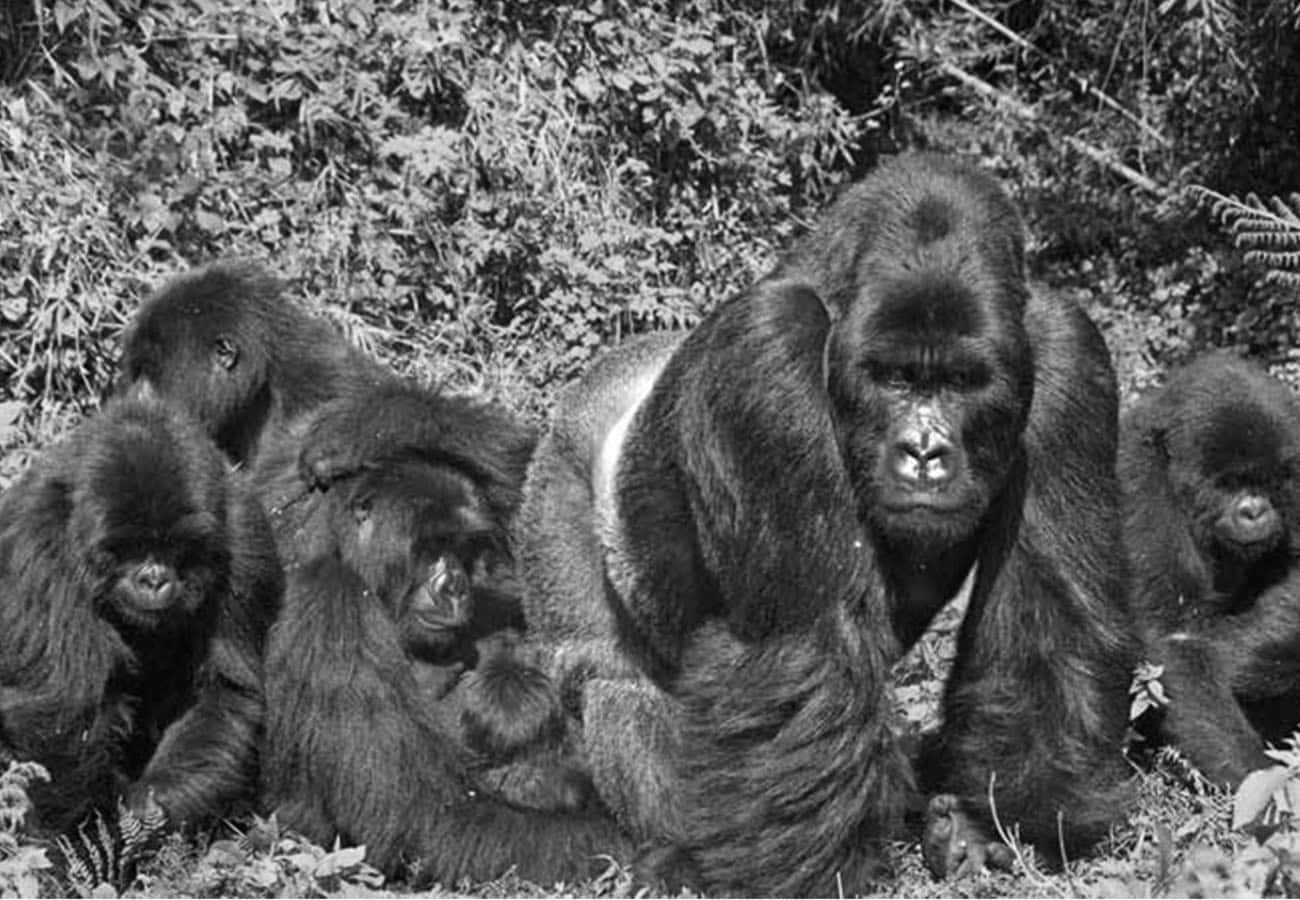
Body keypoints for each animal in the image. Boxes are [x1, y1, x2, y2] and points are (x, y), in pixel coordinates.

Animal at [0, 392, 282, 837]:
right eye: (129, 547)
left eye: (175, 547)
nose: (153, 578)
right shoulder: (38, 540)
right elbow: (60, 711)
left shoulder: (245, 540)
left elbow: (222, 692)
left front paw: (150, 809)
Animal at [517, 150, 1138, 894]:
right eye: (895, 378)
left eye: (961, 381)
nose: (923, 452)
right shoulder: (766, 349)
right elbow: (807, 645)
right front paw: (816, 874)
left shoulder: (1068, 350)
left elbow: (1048, 615)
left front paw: (998, 824)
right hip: (558, 478)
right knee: (608, 676)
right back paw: (675, 850)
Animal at [1118, 351, 1300, 785]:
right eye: (1226, 484)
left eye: (1269, 481)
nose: (1254, 511)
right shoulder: (1138, 487)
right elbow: (1174, 635)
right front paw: (1261, 781)